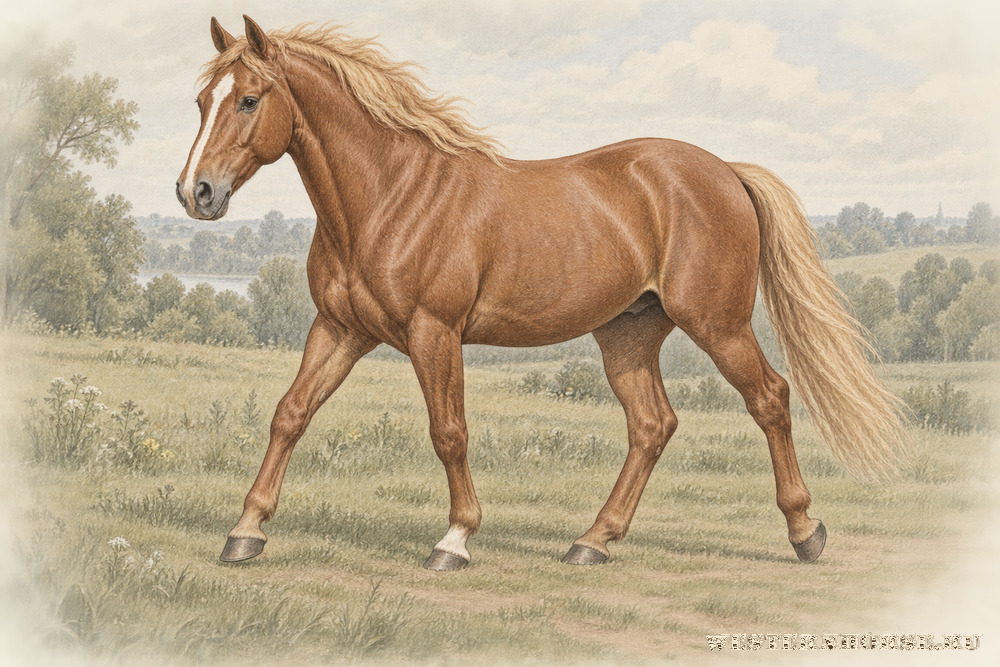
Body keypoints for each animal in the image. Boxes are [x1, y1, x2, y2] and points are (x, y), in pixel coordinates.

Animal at [176, 16, 906, 571]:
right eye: (202, 101)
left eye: (248, 99)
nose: (196, 193)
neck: (390, 196)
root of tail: (725, 170)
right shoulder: (340, 329)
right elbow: (290, 414)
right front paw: (246, 531)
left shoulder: (433, 332)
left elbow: (449, 432)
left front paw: (455, 539)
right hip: (628, 333)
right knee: (652, 425)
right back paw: (593, 541)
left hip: (718, 324)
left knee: (771, 399)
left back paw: (805, 532)